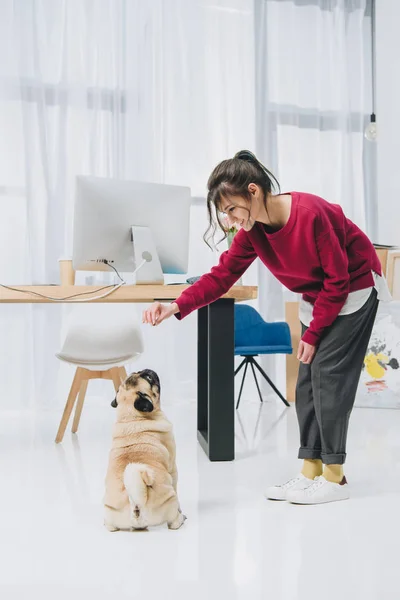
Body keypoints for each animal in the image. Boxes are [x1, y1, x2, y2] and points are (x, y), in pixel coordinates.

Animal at [102, 368, 185, 532]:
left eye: (140, 372)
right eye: (148, 378)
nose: (147, 370)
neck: (131, 418)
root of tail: (135, 505)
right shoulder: (173, 467)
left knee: (110, 526)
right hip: (170, 501)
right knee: (173, 522)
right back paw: (180, 519)